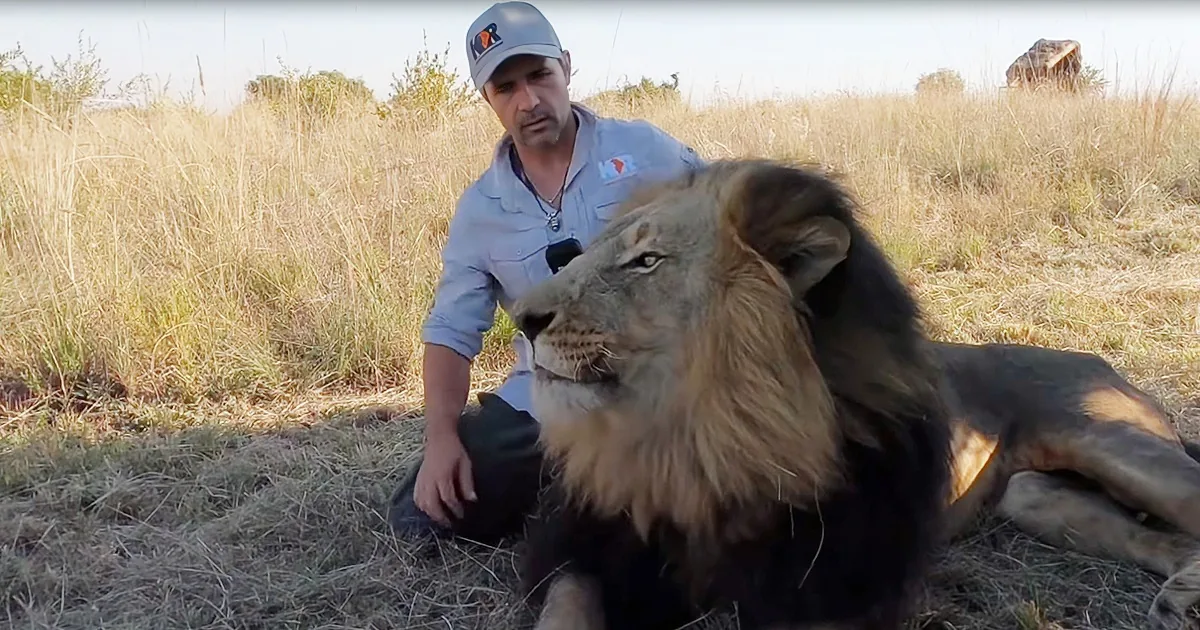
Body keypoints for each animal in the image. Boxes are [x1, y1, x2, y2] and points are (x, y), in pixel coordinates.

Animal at [508, 159, 1200, 630]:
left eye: (646, 261)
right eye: (574, 255)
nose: (522, 319)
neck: (692, 438)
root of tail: (1099, 360)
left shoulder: (835, 586)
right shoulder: (587, 547)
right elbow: (566, 609)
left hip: (1107, 439)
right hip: (1030, 495)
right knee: (1162, 538)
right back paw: (1181, 594)